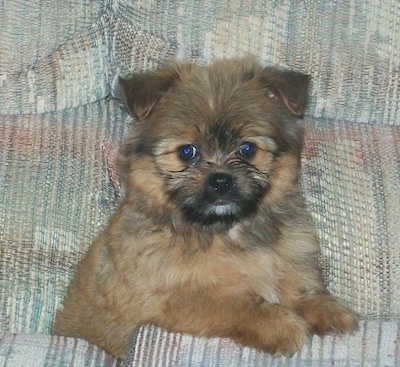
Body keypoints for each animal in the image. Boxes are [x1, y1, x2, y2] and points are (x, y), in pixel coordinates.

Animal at [51, 58, 358, 360]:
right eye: (187, 152)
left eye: (247, 149)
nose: (221, 180)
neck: (226, 232)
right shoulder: (172, 299)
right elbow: (234, 304)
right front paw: (278, 323)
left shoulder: (291, 256)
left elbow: (299, 284)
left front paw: (324, 308)